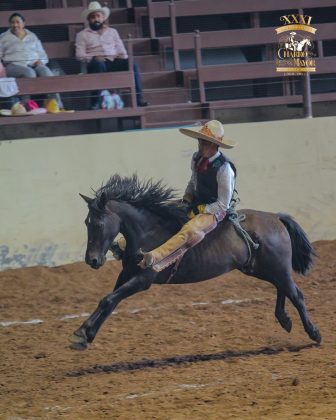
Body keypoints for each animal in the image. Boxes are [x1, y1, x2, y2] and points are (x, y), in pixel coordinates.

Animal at [69, 174, 322, 352]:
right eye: (86, 222)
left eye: (99, 223)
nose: (92, 260)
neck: (147, 233)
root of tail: (276, 217)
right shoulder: (126, 275)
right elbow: (108, 302)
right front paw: (84, 334)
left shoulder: (142, 280)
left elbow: (108, 299)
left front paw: (82, 333)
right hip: (260, 268)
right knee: (284, 288)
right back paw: (285, 319)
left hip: (275, 267)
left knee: (296, 294)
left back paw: (314, 333)